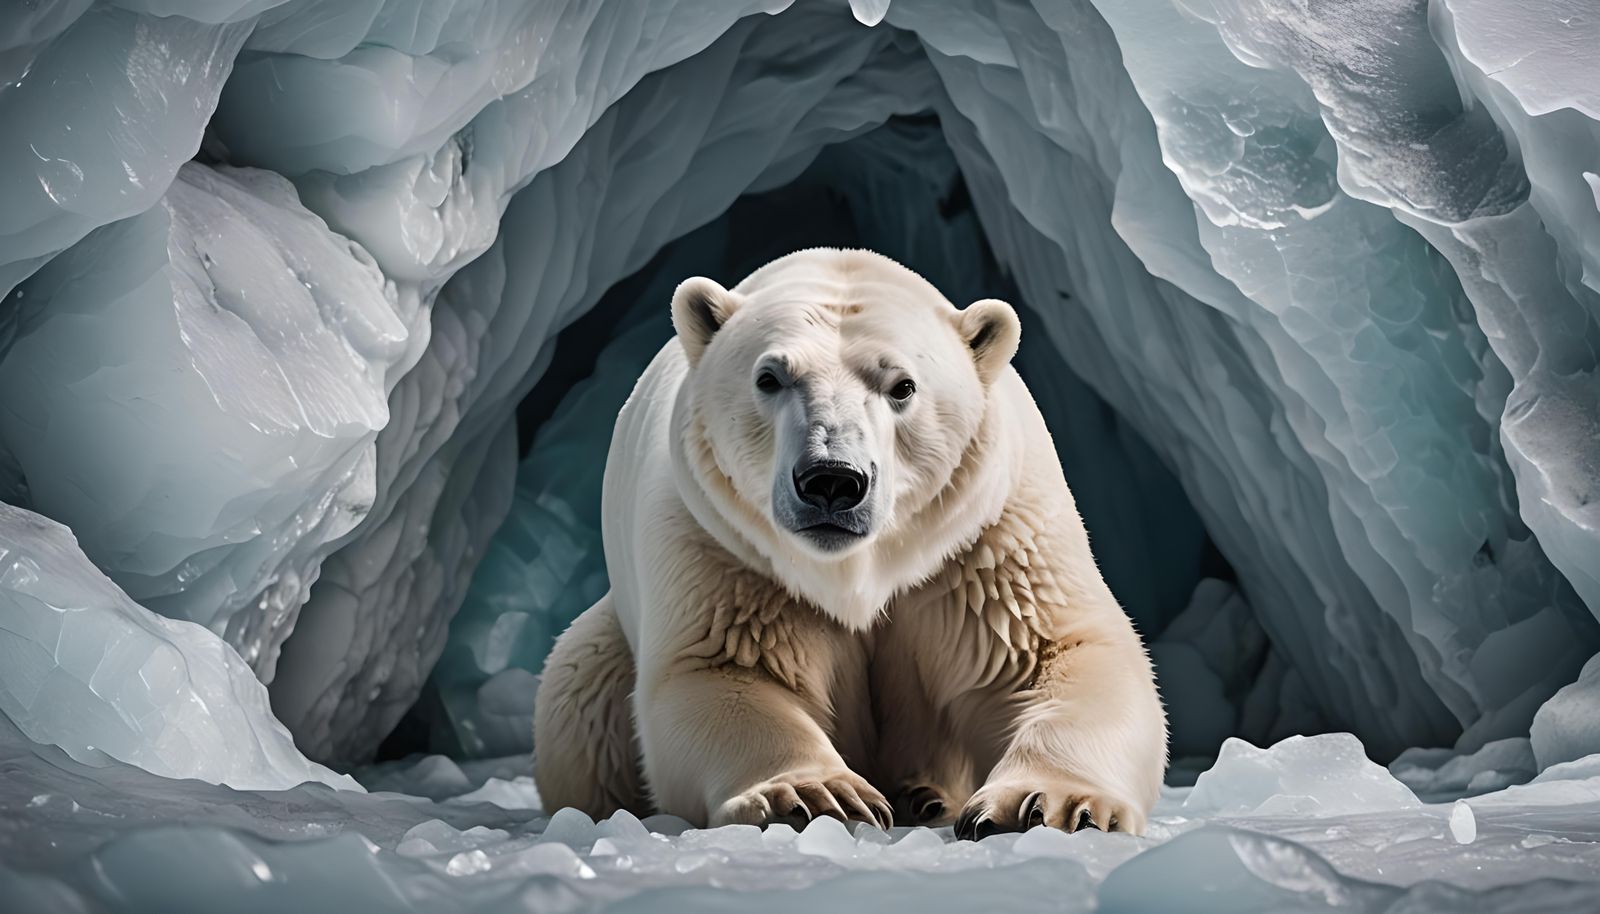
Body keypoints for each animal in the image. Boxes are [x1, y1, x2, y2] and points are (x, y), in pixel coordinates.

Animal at [533, 248, 1167, 836]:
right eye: (770, 377)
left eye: (903, 385)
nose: (832, 480)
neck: (858, 569)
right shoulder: (725, 547)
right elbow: (719, 670)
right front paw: (812, 795)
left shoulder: (983, 541)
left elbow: (1057, 654)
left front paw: (1046, 803)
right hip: (603, 652)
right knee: (577, 700)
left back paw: (923, 795)